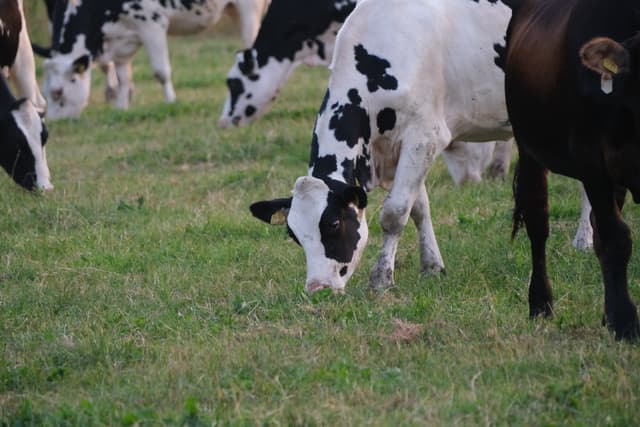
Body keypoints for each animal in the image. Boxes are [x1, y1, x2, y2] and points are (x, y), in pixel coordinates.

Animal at [42, 0, 270, 120]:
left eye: (58, 93)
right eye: (45, 94)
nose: (53, 121)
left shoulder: (152, 24)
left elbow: (161, 72)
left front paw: (171, 101)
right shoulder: (122, 41)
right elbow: (124, 77)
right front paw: (121, 106)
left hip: (248, 6)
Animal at [250, 0, 518, 293]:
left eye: (333, 223)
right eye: (293, 233)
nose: (317, 288)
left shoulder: (424, 137)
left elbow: (395, 212)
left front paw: (380, 280)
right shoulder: (395, 151)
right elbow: (419, 208)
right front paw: (432, 267)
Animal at [504, 0, 640, 339]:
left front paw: (615, 315)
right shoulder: (591, 160)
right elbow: (616, 238)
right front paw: (626, 322)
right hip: (528, 148)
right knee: (538, 223)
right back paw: (540, 303)